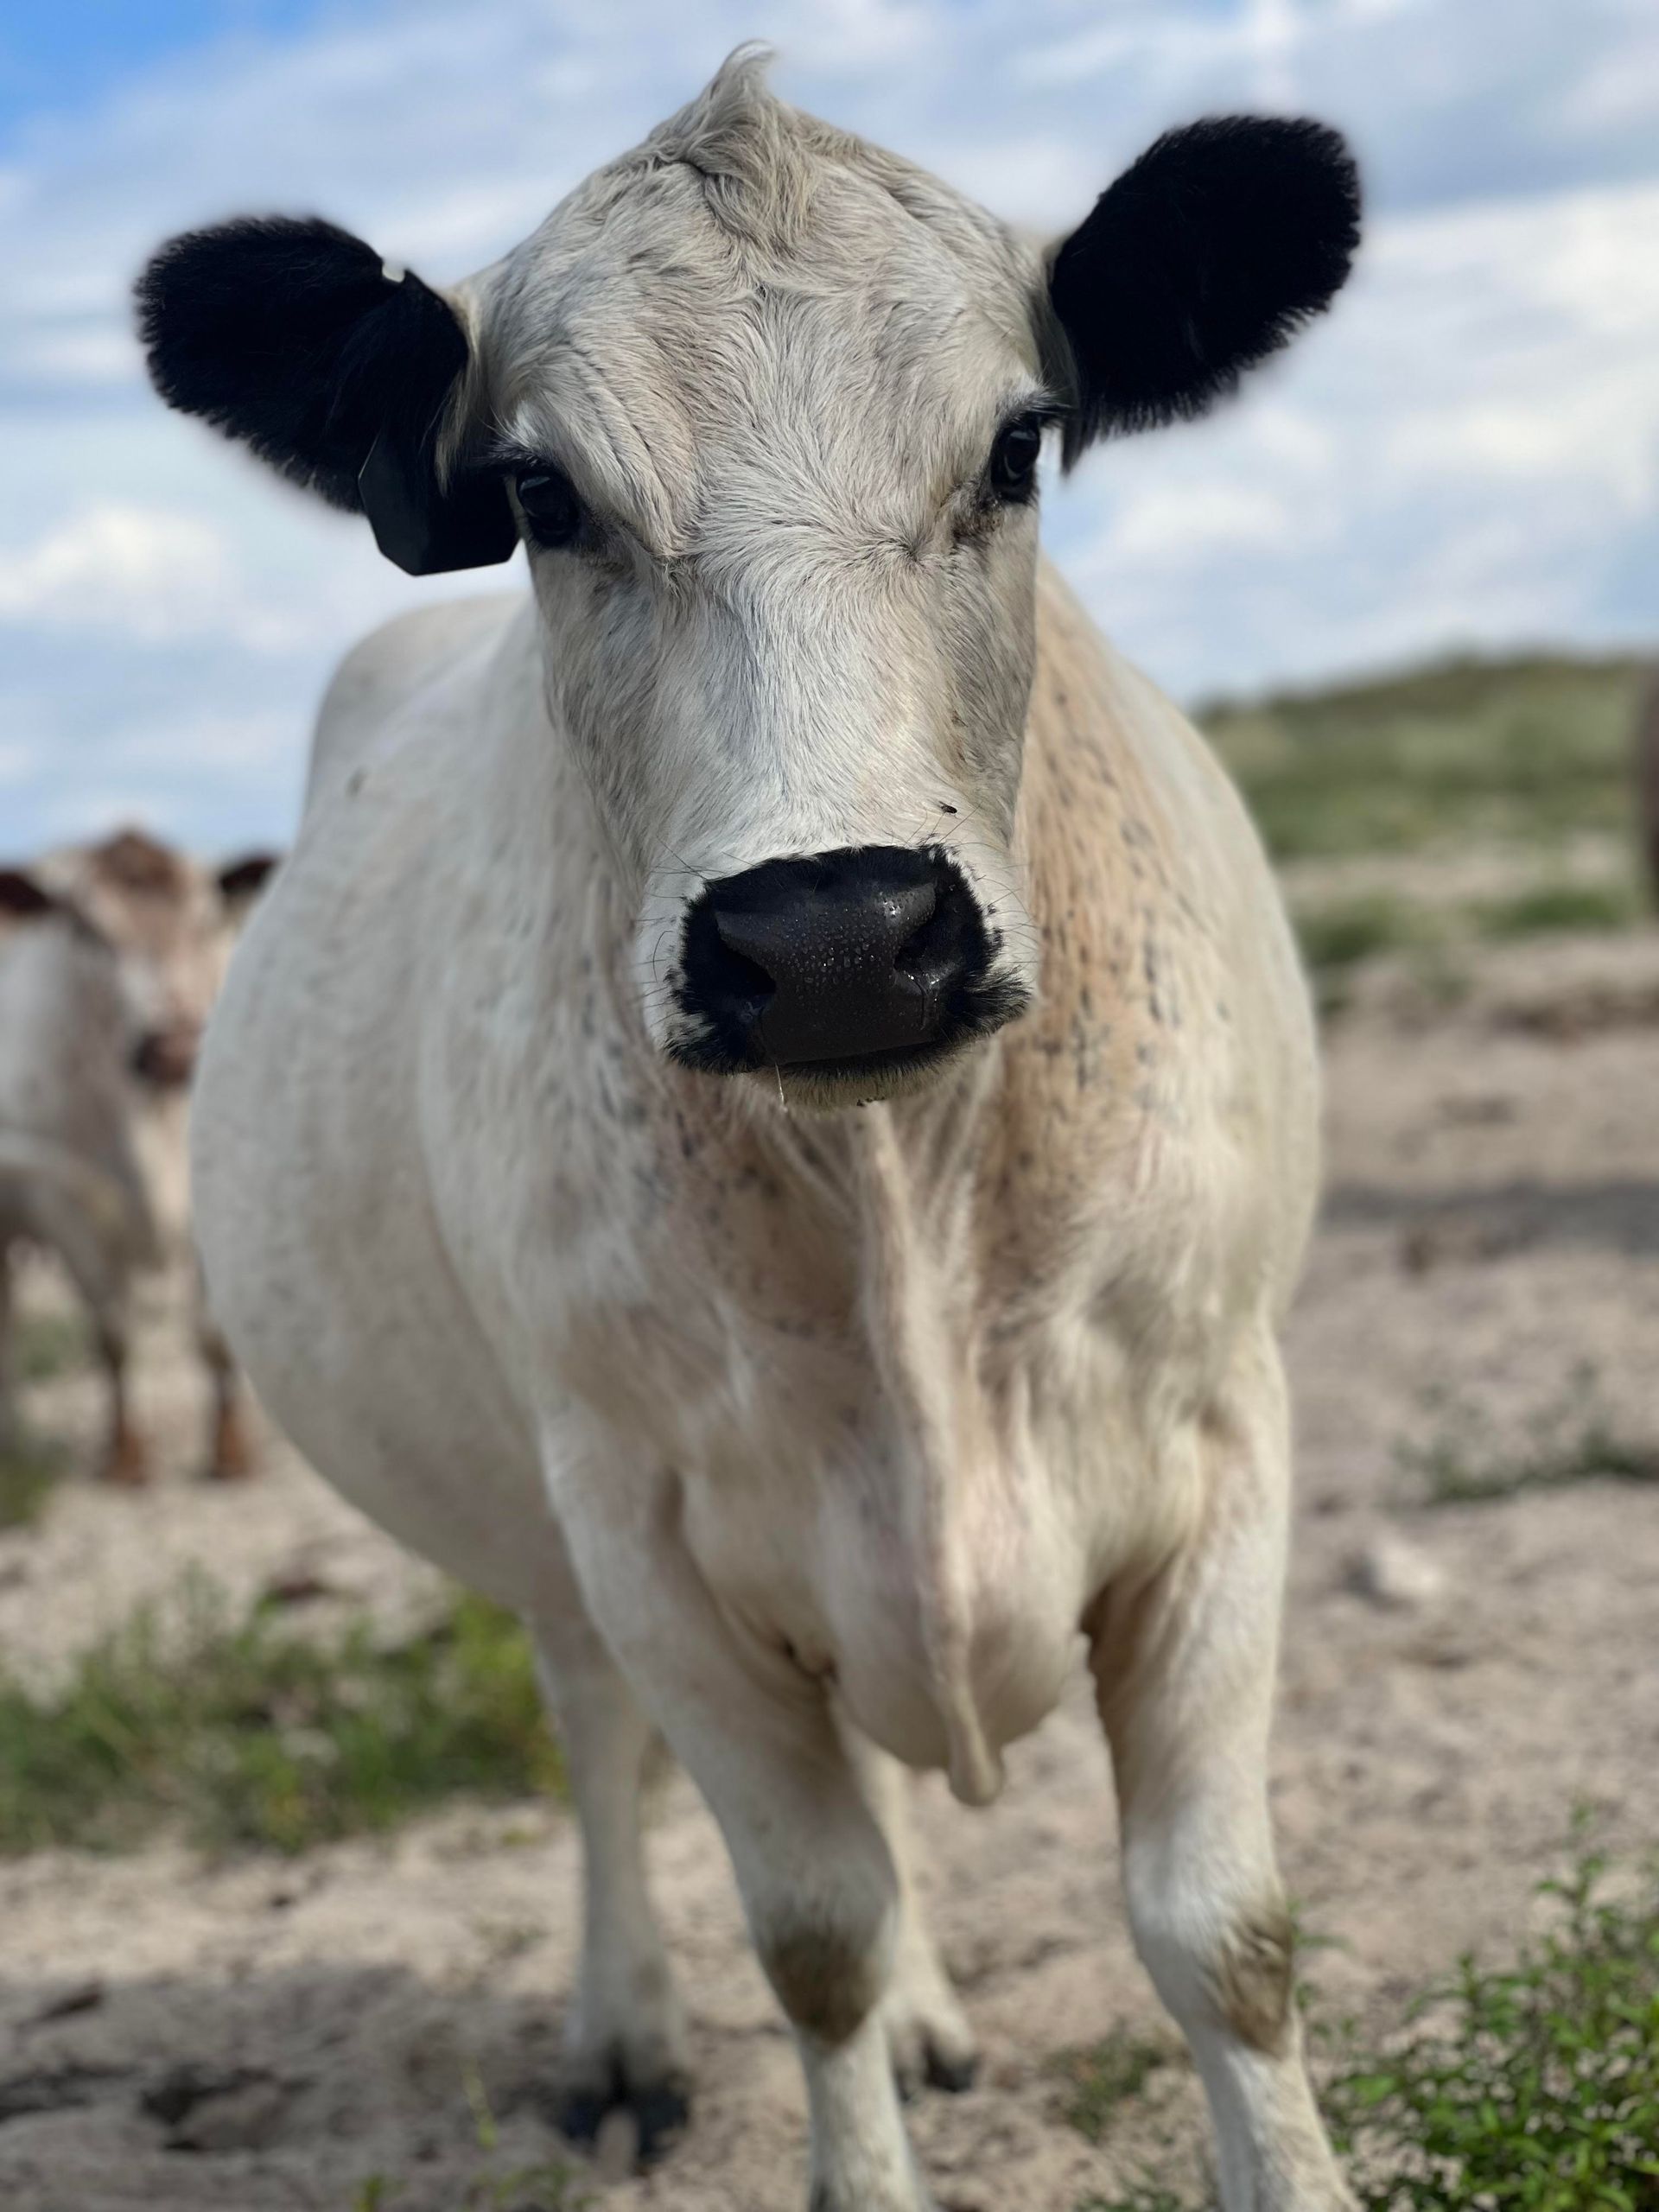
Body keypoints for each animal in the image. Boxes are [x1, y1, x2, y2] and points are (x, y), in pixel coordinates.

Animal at [0, 832, 277, 1482]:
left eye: (205, 919)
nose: (172, 1049)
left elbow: (211, 1331)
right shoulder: (64, 1205)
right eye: (87, 931)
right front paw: (125, 1454)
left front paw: (230, 1449)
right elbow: (113, 1331)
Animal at [138, 53, 1361, 2211]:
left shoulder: (1223, 1431)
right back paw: (626, 2031)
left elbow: (1223, 1930)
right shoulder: (648, 1531)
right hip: (556, 1543)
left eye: (1017, 446)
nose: (839, 932)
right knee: (604, 1757)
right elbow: (815, 1935)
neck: (897, 1190)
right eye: (540, 495)